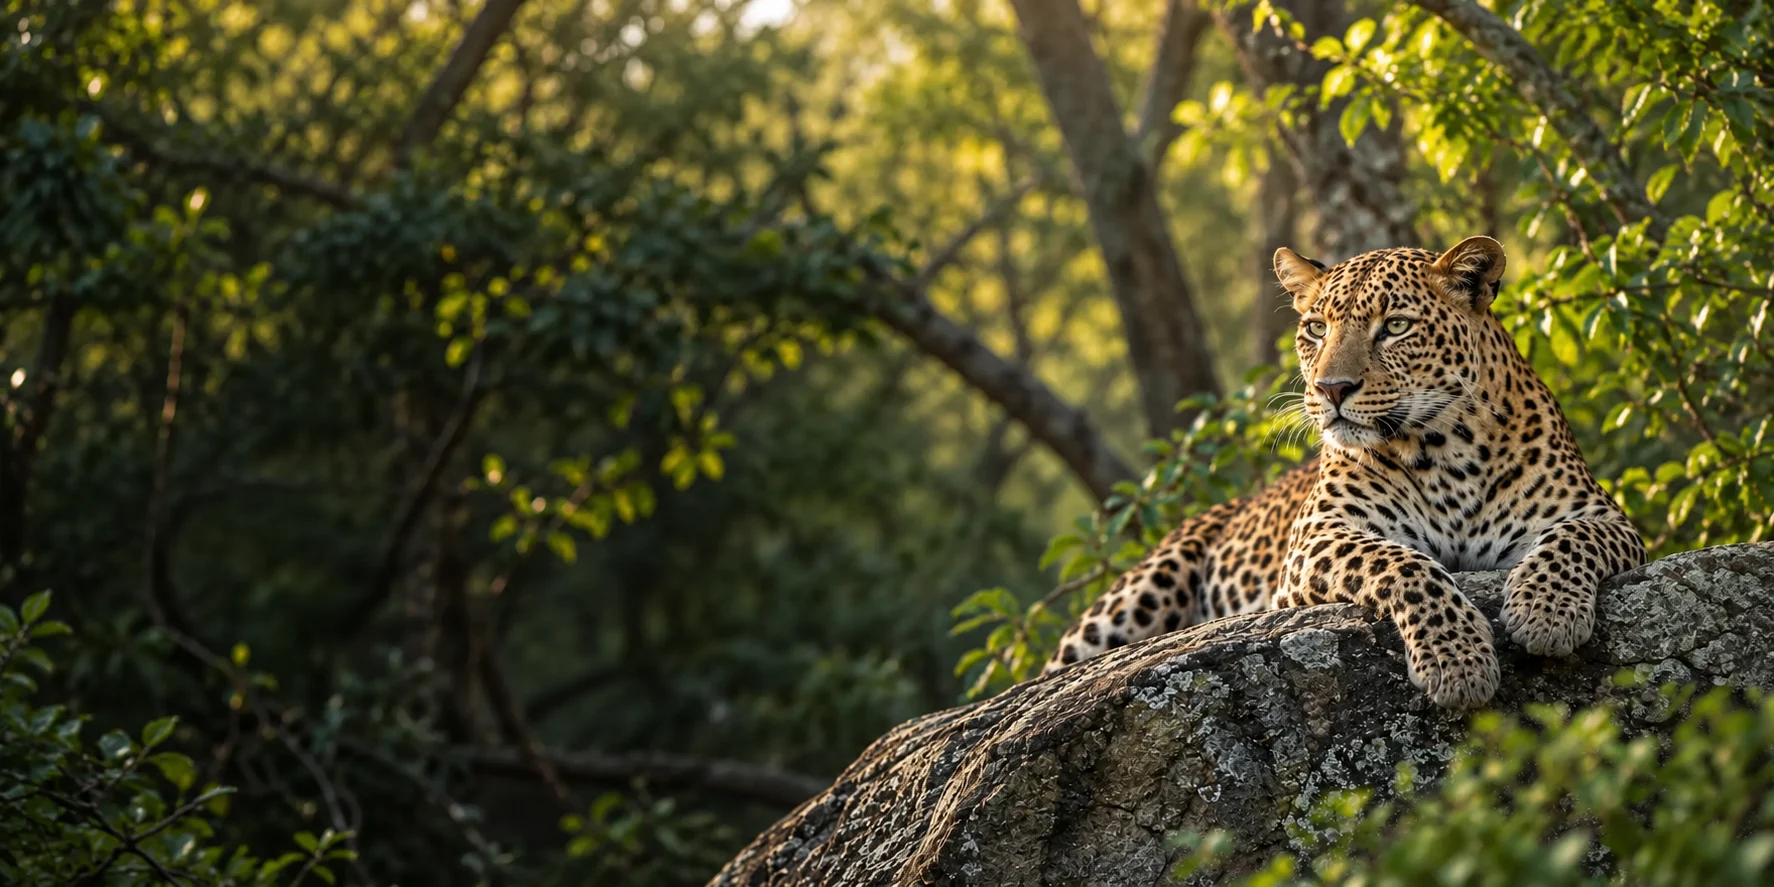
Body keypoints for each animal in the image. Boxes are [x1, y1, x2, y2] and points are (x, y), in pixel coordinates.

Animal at [1043, 236, 1645, 708]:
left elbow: (1571, 540)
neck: (1445, 450)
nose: (1331, 389)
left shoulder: (1606, 517)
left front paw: (1547, 614)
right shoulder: (1318, 537)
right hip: (1134, 597)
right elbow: (1404, 564)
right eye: (1315, 328)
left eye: (1395, 326)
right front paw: (1458, 662)